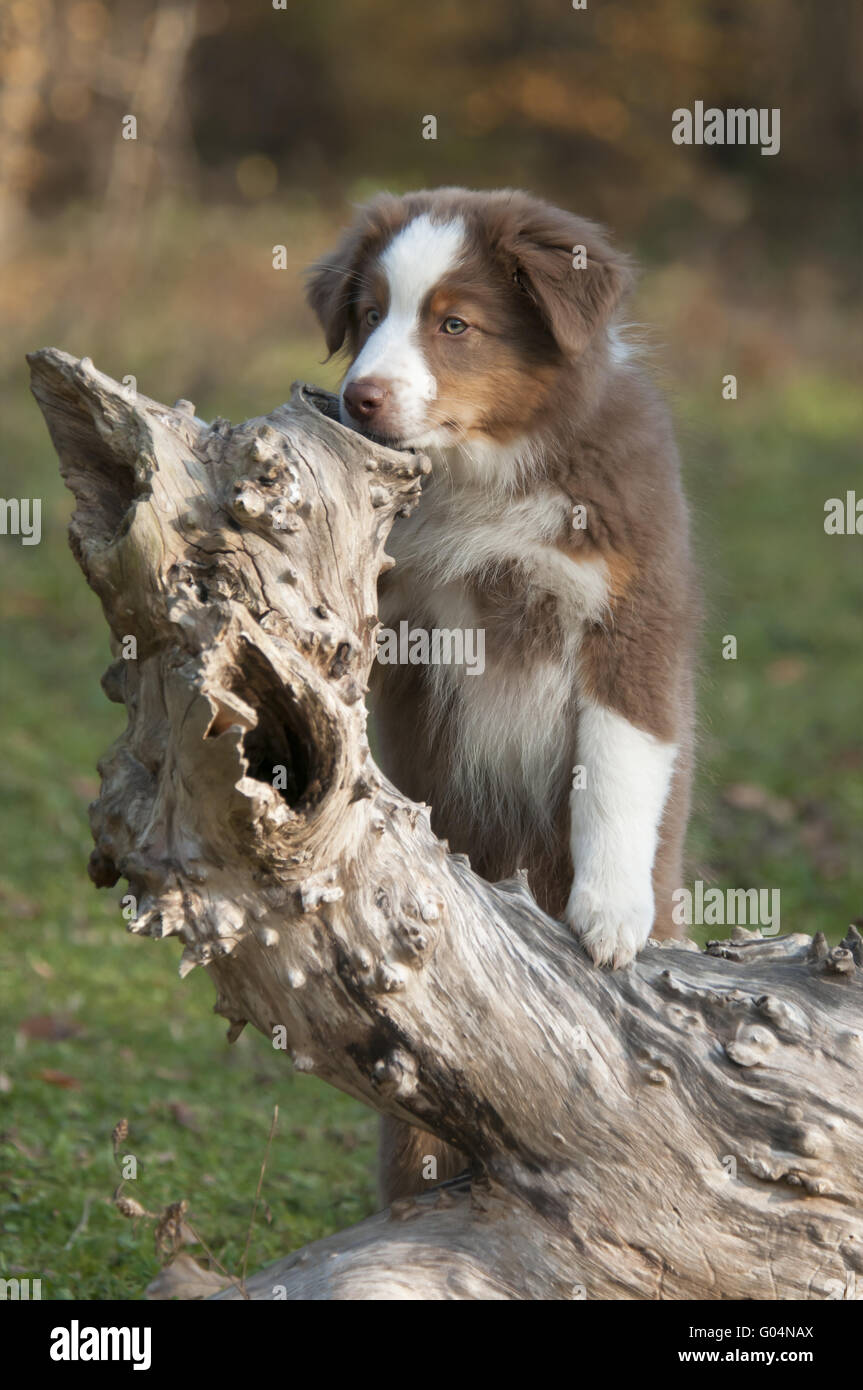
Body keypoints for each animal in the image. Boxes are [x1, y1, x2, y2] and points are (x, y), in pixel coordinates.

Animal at [305, 187, 697, 1206]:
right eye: (369, 314)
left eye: (455, 324)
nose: (360, 398)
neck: (488, 473)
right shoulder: (403, 614)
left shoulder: (631, 618)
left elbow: (617, 768)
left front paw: (608, 915)